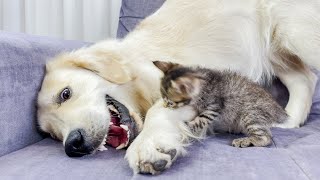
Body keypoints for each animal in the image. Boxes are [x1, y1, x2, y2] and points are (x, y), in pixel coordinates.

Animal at [152, 60, 288, 148]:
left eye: (170, 103)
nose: (164, 106)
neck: (203, 84)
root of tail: (277, 110)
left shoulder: (213, 107)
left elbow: (199, 121)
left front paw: (186, 126)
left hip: (251, 114)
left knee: (266, 138)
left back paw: (245, 141)